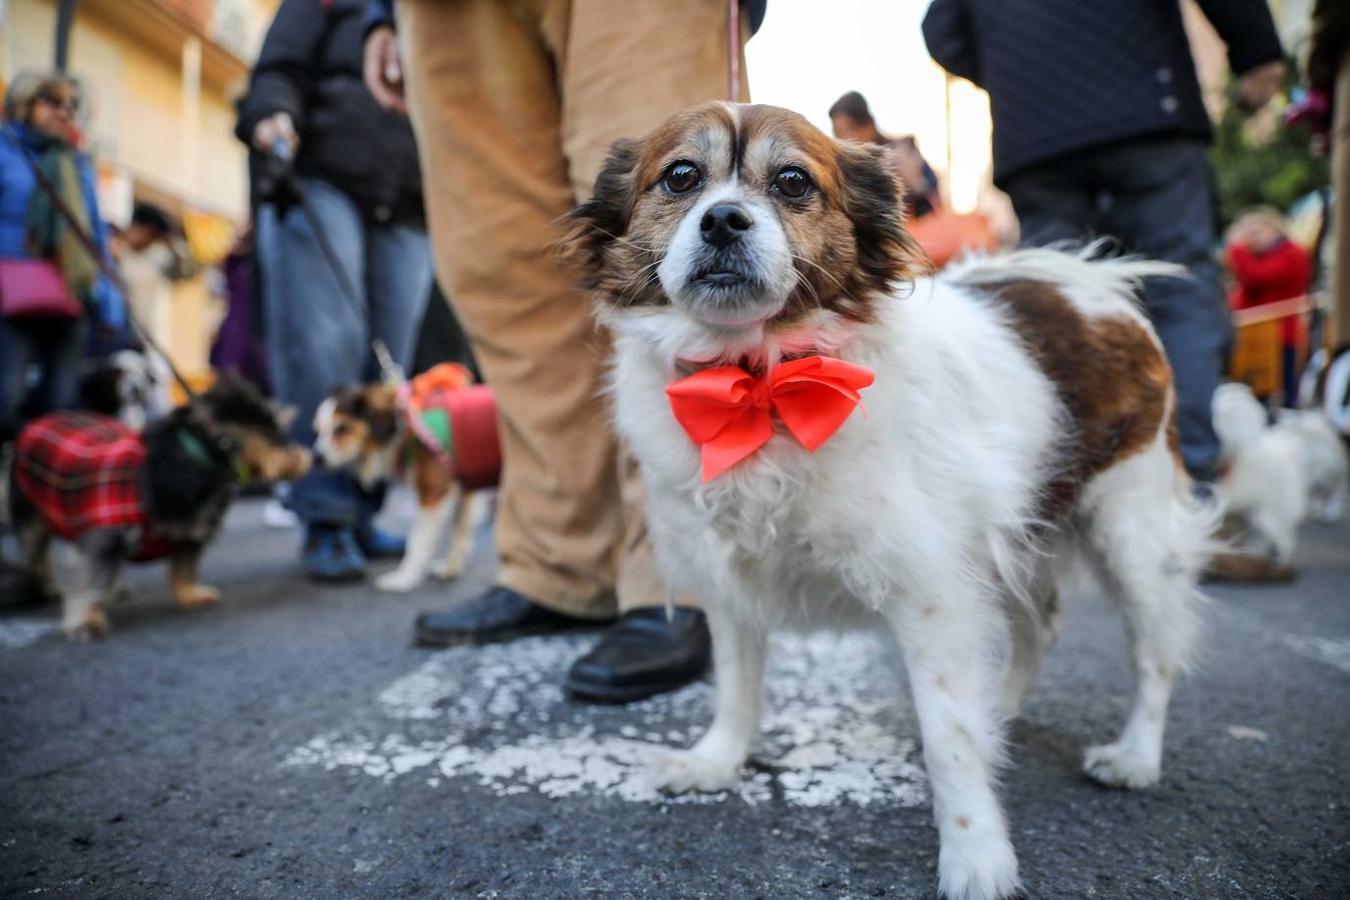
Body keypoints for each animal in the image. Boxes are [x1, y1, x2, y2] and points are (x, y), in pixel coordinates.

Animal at [564, 101, 1220, 895]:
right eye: (681, 177)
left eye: (793, 182)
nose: (722, 220)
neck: (762, 380)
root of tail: (1094, 285)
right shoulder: (730, 579)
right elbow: (737, 684)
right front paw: (717, 760)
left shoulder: (931, 593)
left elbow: (950, 741)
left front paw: (976, 854)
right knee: (1037, 628)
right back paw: (1001, 708)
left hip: (1131, 533)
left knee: (1154, 655)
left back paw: (1135, 755)